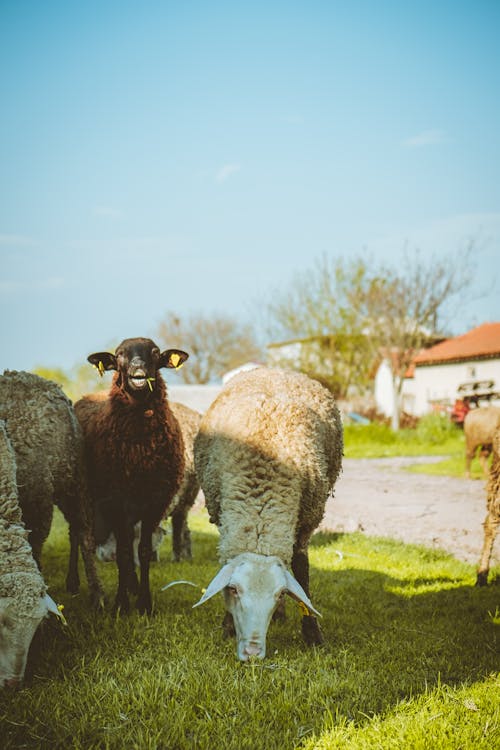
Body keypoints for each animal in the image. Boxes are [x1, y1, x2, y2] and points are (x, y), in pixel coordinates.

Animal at [0, 370, 103, 612]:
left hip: (75, 481)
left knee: (83, 532)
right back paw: (74, 583)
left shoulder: (38, 505)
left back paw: (96, 594)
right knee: (75, 531)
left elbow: (36, 549)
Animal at [74, 340, 189, 616]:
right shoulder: (115, 500)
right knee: (76, 537)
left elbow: (143, 551)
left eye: (156, 352)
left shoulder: (155, 501)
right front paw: (121, 605)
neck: (140, 448)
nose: (138, 368)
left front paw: (144, 603)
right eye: (119, 355)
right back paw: (73, 582)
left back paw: (133, 585)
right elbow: (124, 553)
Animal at [191, 368, 344, 660]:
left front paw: (312, 634)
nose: (252, 652)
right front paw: (227, 626)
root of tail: (276, 369)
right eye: (233, 590)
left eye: (279, 593)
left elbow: (302, 572)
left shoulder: (304, 525)